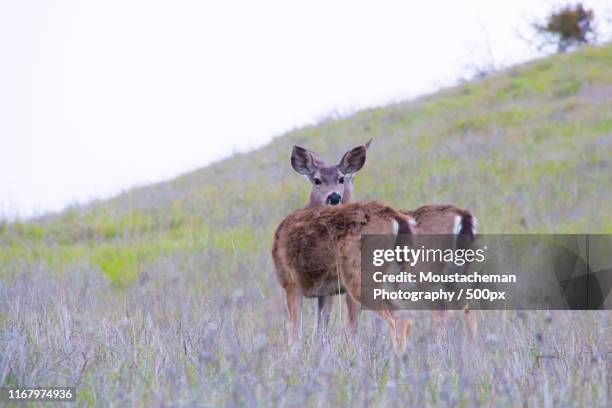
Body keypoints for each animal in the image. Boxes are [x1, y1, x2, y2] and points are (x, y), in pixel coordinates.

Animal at [282, 140, 478, 342]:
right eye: (317, 180)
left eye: (341, 178)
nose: (334, 197)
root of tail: (464, 216)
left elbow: (353, 323)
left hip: (428, 274)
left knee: (441, 313)